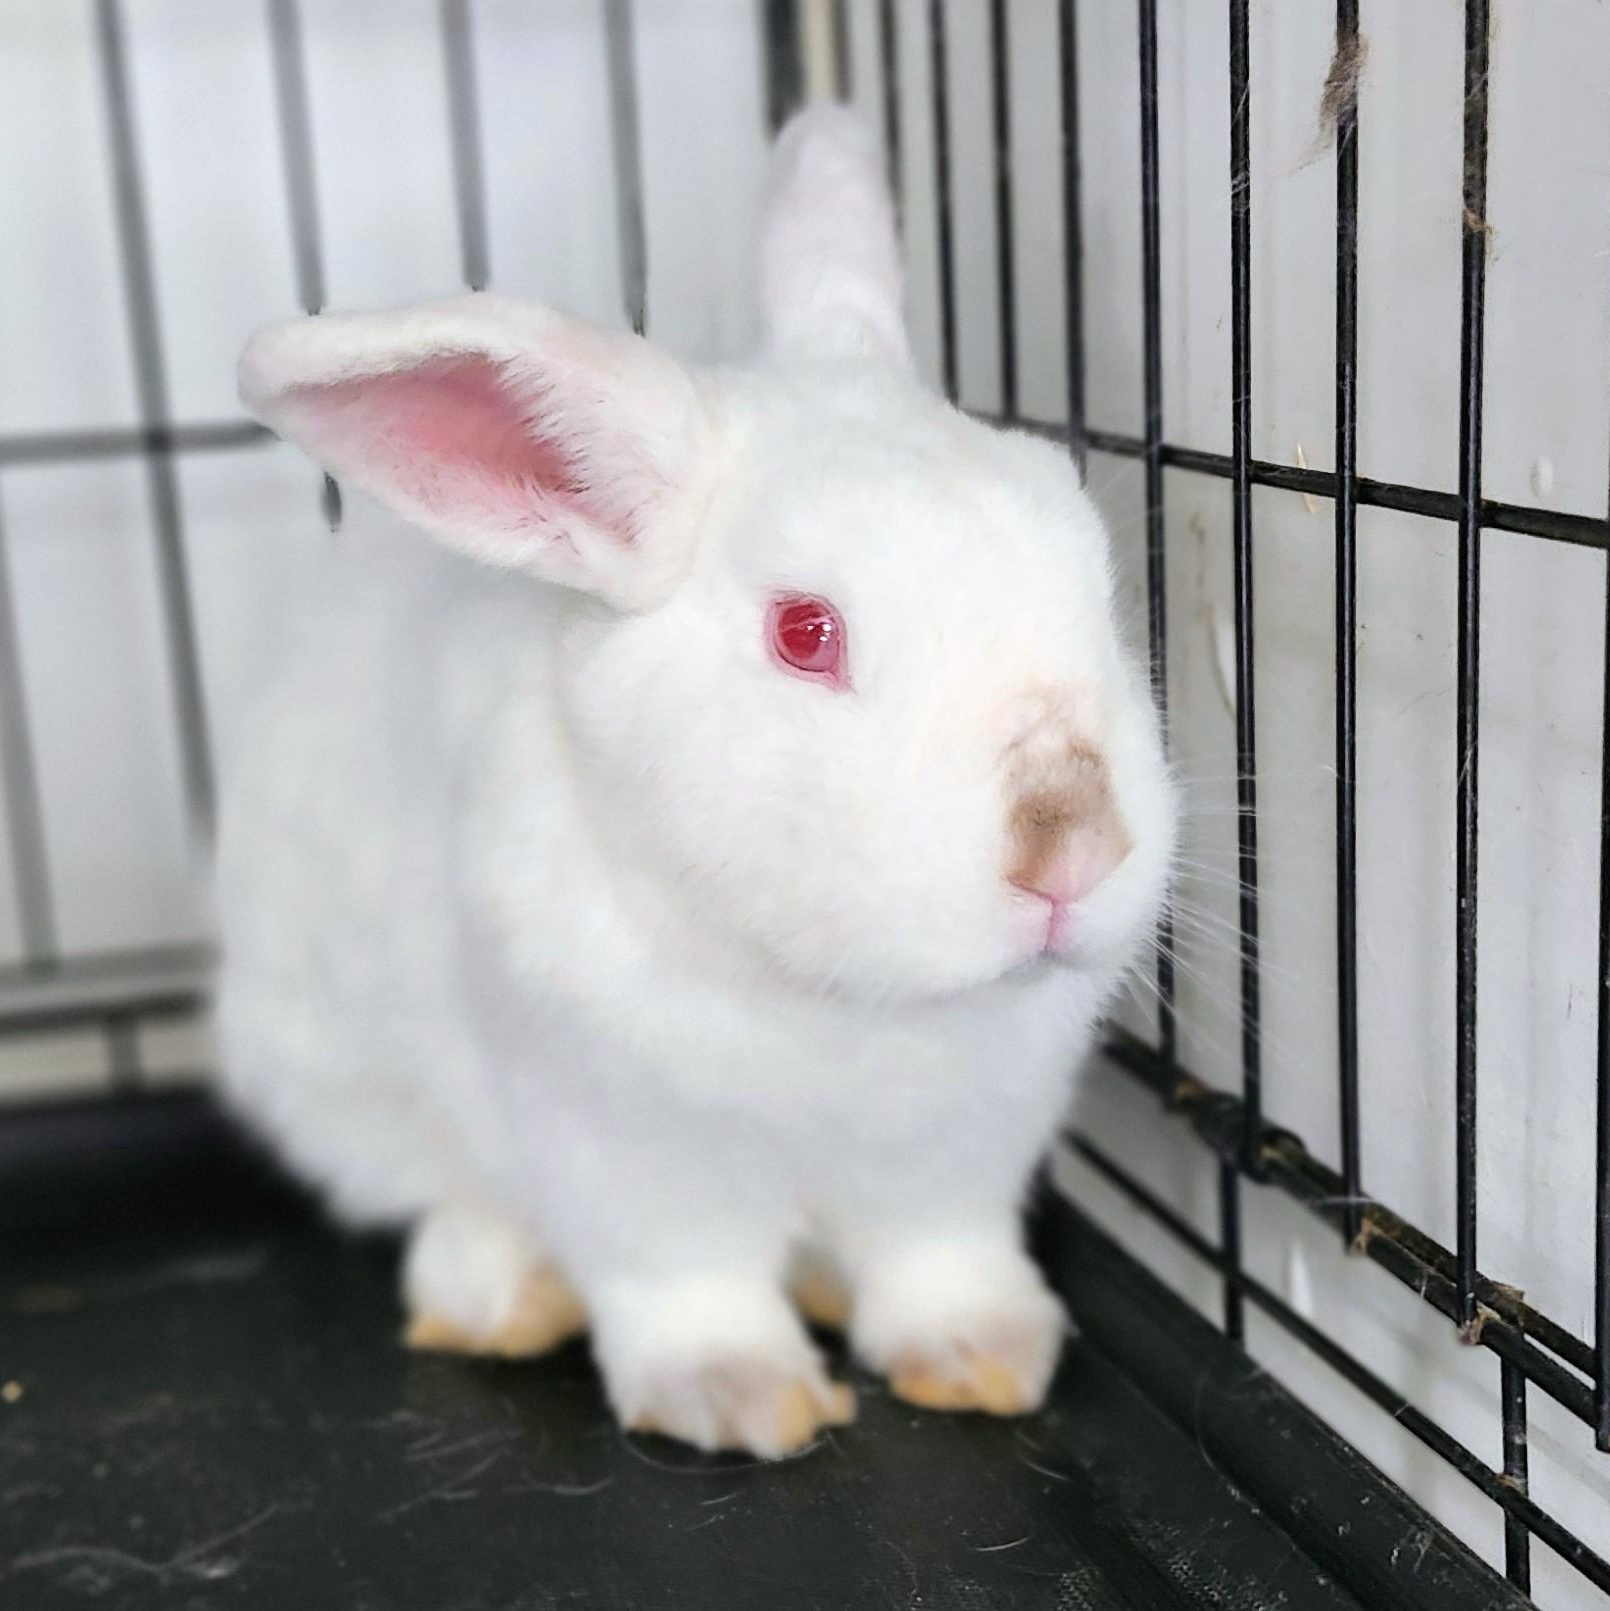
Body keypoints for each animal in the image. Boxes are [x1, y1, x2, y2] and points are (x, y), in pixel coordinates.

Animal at [217, 104, 1174, 1459]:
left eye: (1093, 579)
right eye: (804, 633)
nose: (1070, 846)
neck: (838, 1000)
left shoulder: (956, 1151)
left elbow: (939, 1258)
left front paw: (984, 1360)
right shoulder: (621, 1144)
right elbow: (683, 1278)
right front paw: (739, 1400)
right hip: (335, 1080)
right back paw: (501, 1301)